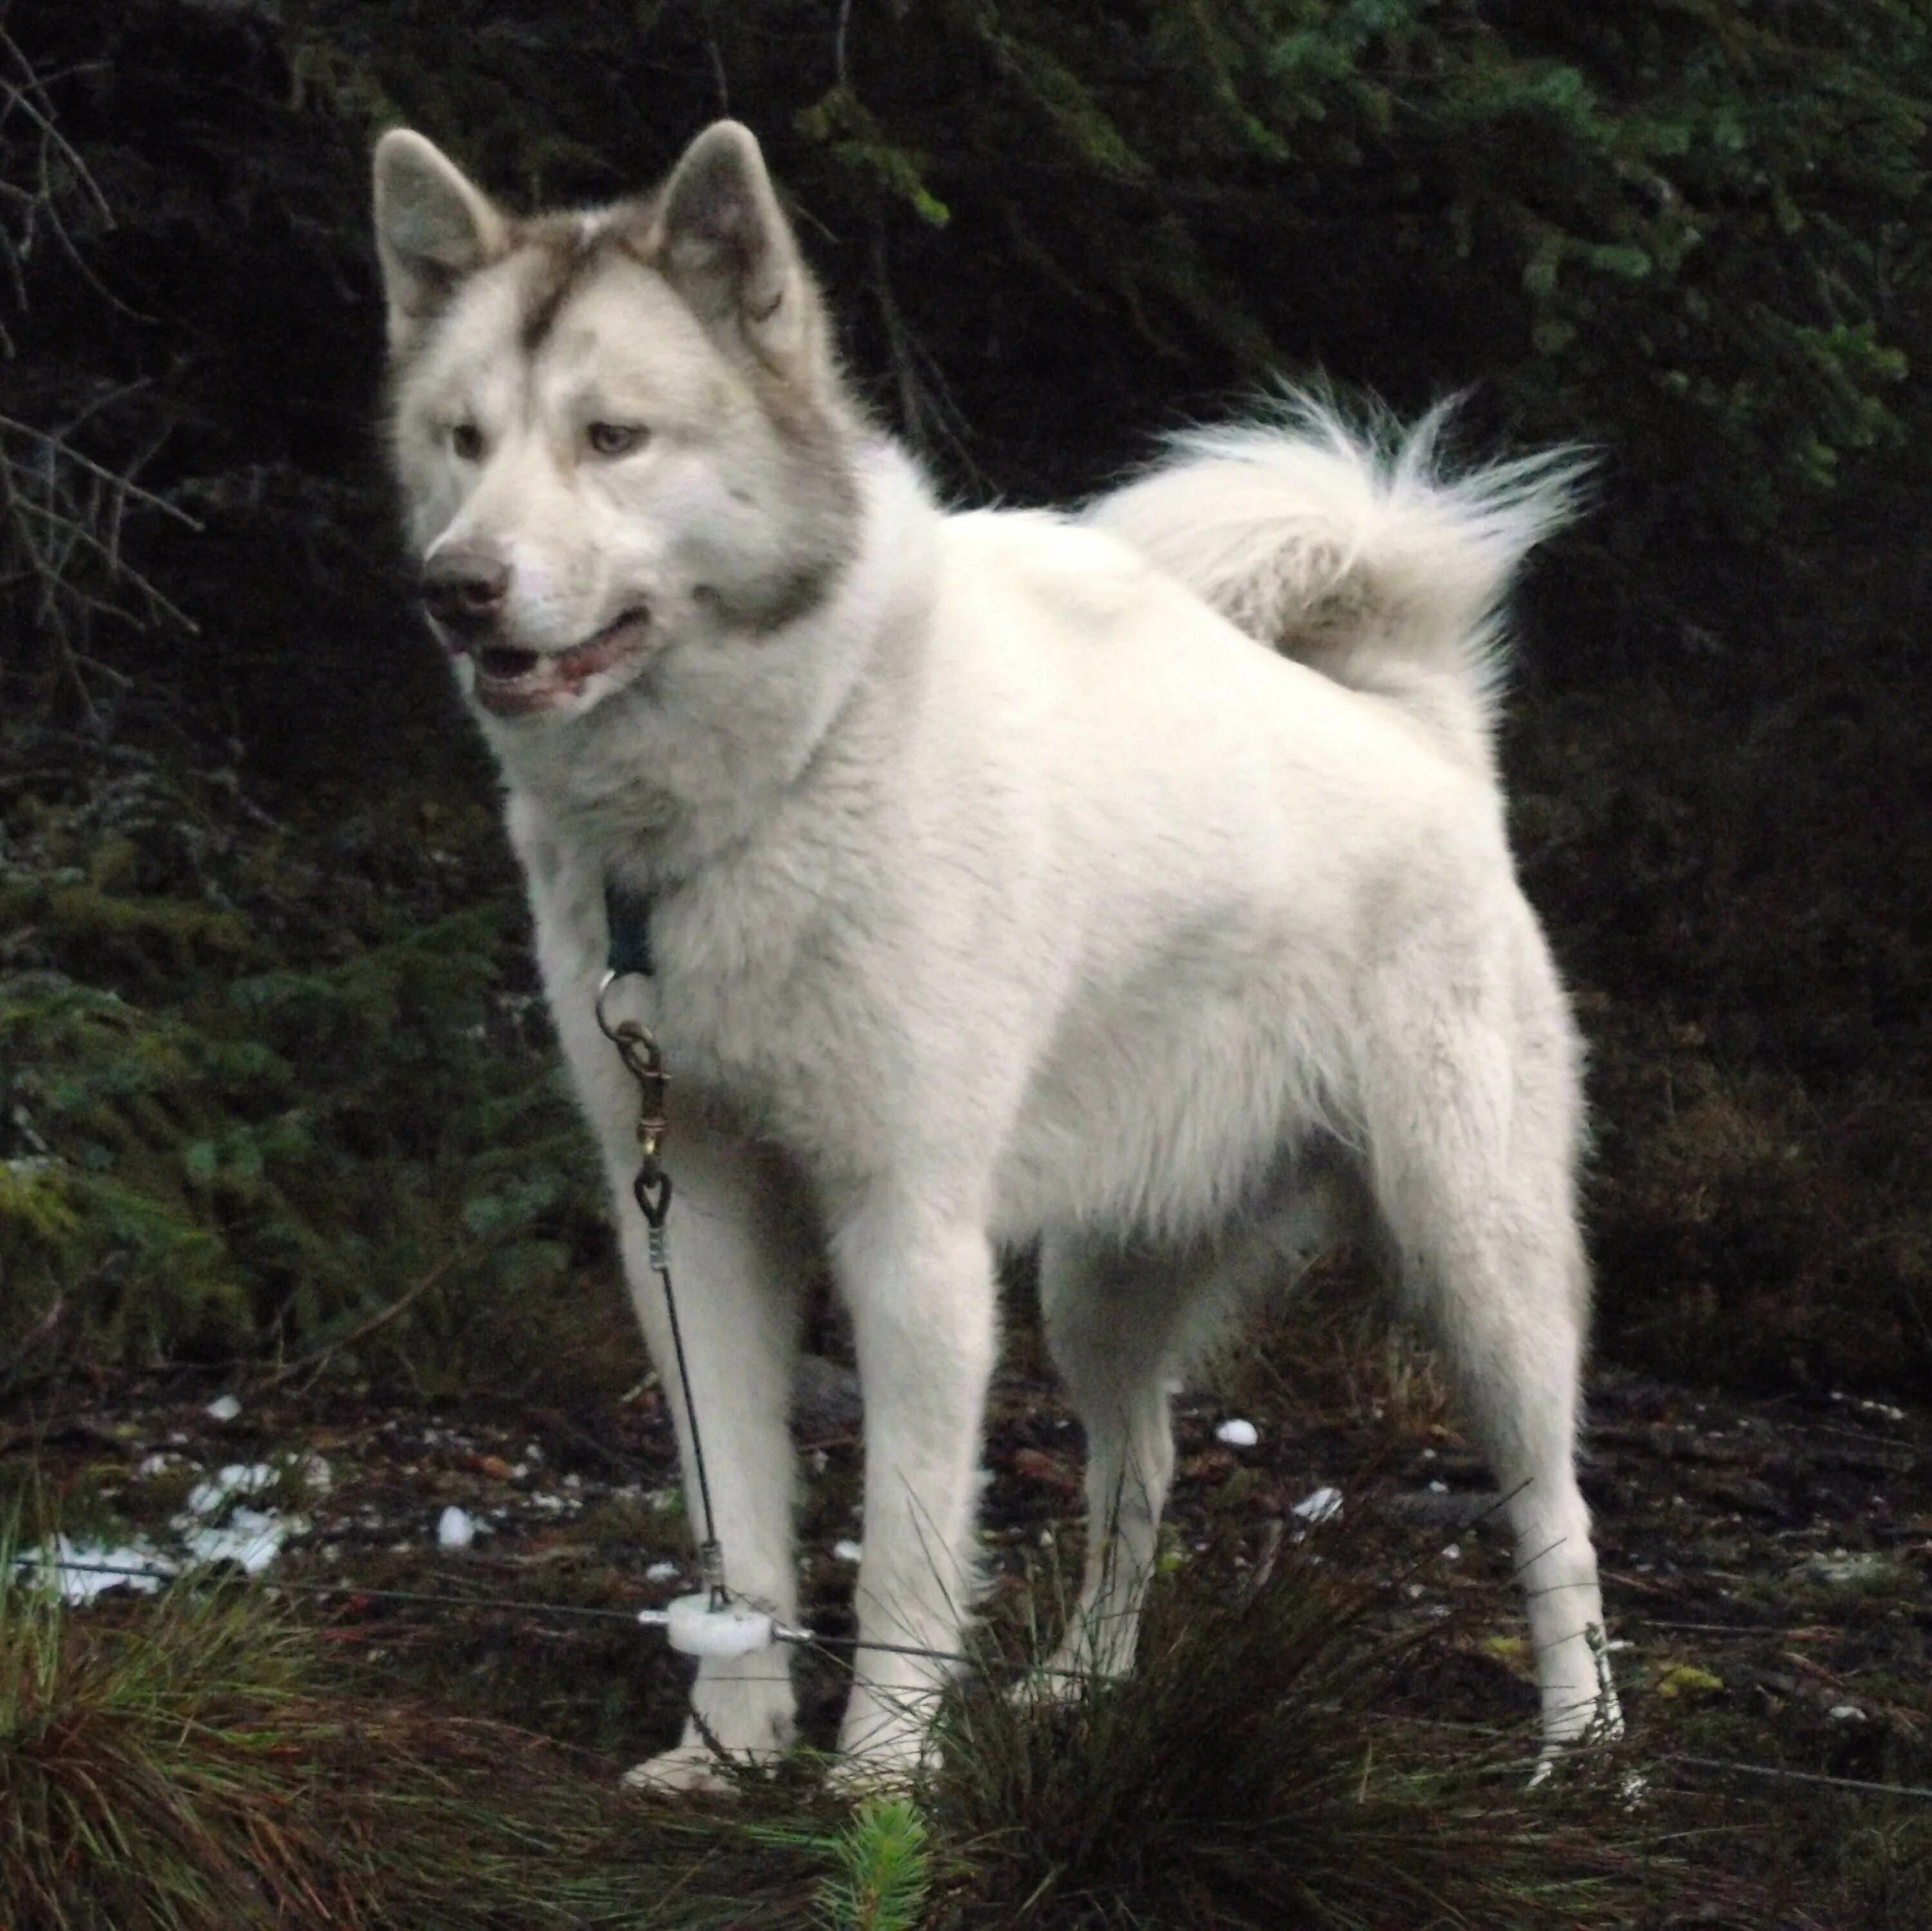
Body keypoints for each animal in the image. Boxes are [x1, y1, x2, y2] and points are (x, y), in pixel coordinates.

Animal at [373, 117, 1615, 1776]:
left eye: (612, 437)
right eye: (462, 438)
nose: (457, 588)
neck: (779, 770)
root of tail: (1416, 726)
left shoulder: (910, 1235)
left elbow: (904, 1548)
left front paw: (876, 1778)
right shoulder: (691, 1212)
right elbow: (739, 1526)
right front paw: (727, 1751)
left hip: (1475, 1259)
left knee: (1554, 1505)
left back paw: (1584, 1745)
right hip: (1101, 1280)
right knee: (1138, 1470)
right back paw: (1084, 1686)